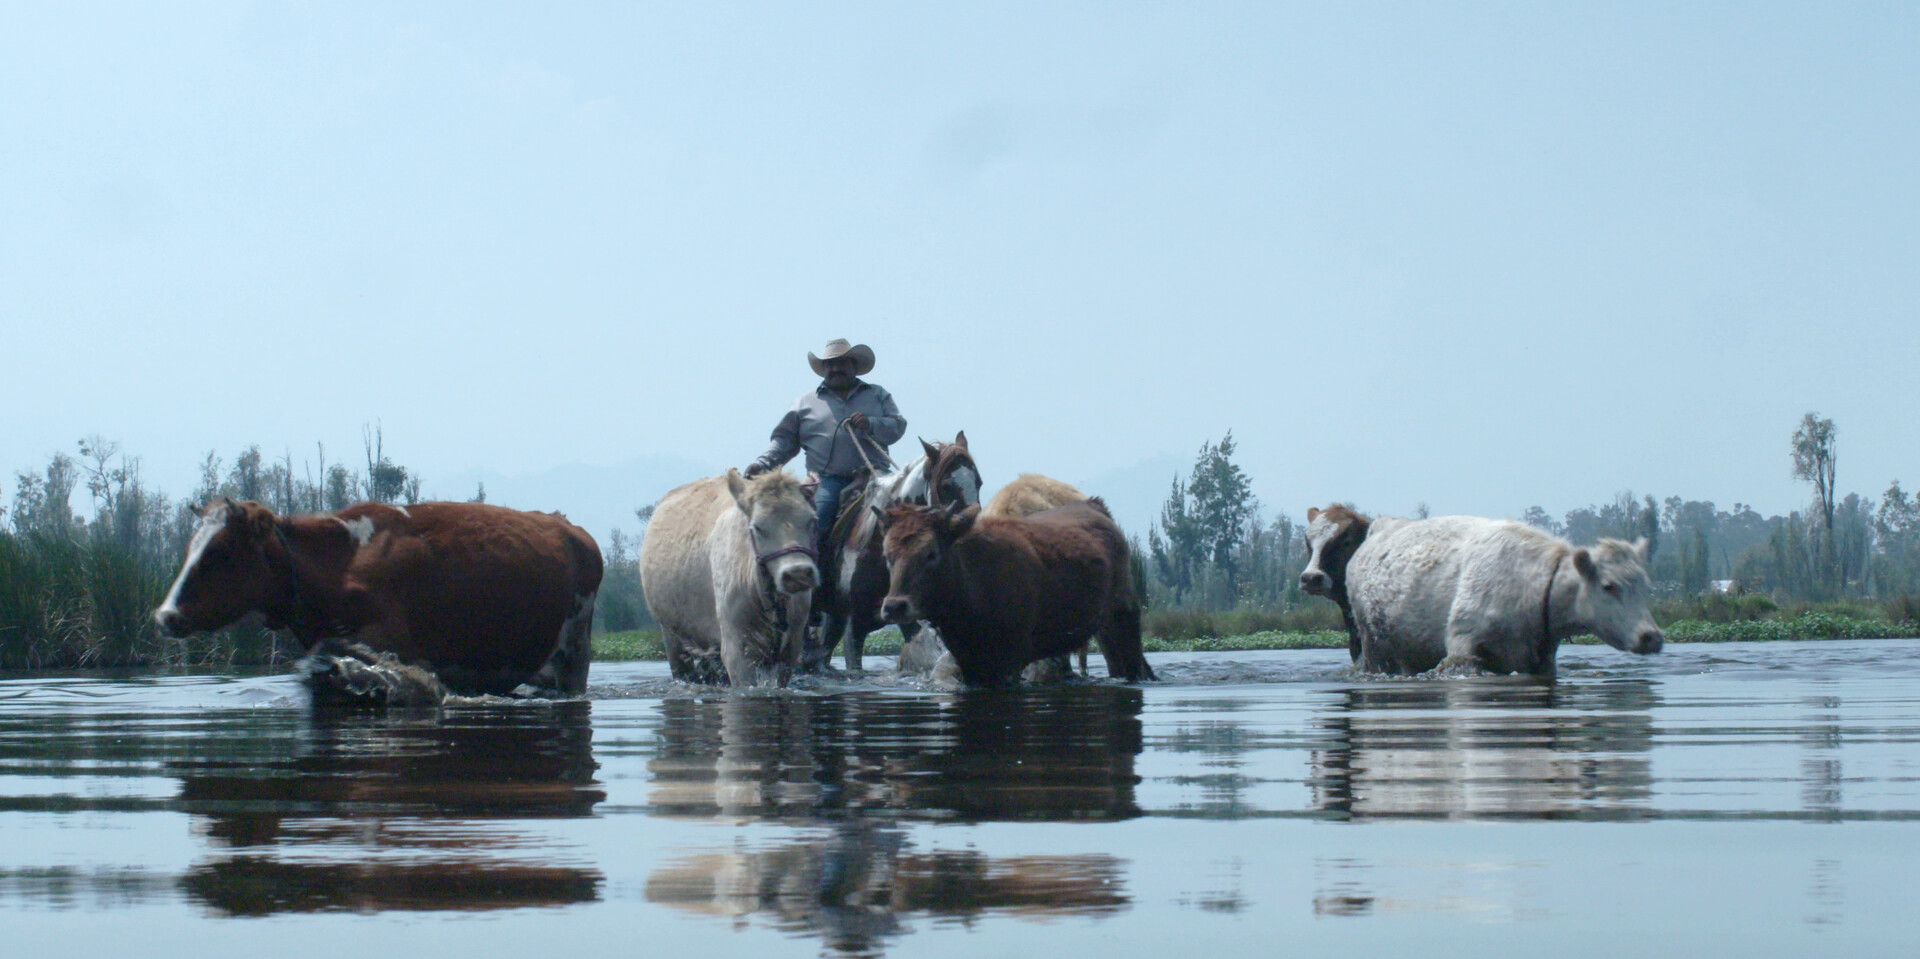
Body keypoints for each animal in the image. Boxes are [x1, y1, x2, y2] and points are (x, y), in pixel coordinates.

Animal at [154, 503, 602, 699]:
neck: (336, 564)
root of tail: (571, 528)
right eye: (190, 546)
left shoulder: (392, 647)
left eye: (220, 553)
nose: (165, 615)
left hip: (575, 649)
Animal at [637, 468, 817, 688]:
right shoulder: (735, 645)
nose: (797, 573)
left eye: (811, 520)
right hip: (671, 636)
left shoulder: (791, 646)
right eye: (757, 527)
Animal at [875, 499, 1152, 688]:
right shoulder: (969, 662)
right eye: (886, 555)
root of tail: (1095, 506)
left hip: (1125, 618)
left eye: (931, 553)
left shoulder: (1010, 658)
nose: (894, 606)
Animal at [1336, 515, 1666, 680]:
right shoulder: (1462, 645)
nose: (1652, 636)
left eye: (1645, 586)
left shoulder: (1541, 659)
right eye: (1609, 586)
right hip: (1373, 644)